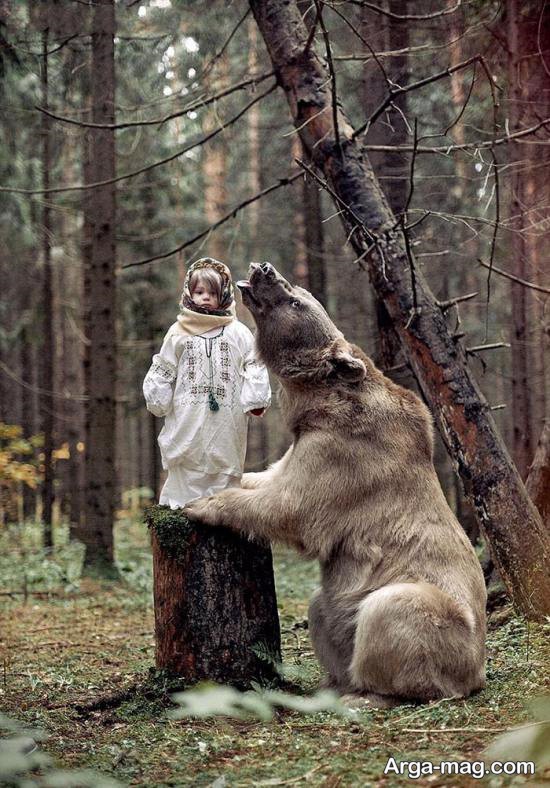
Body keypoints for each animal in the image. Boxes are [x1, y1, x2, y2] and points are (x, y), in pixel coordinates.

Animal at [185, 262, 488, 704]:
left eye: (296, 300)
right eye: (297, 289)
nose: (264, 269)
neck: (320, 401)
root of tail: (478, 670)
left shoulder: (345, 453)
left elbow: (292, 506)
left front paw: (203, 504)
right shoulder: (307, 440)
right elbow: (271, 476)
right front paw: (229, 480)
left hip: (448, 626)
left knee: (392, 611)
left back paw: (367, 693)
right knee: (321, 608)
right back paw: (333, 683)